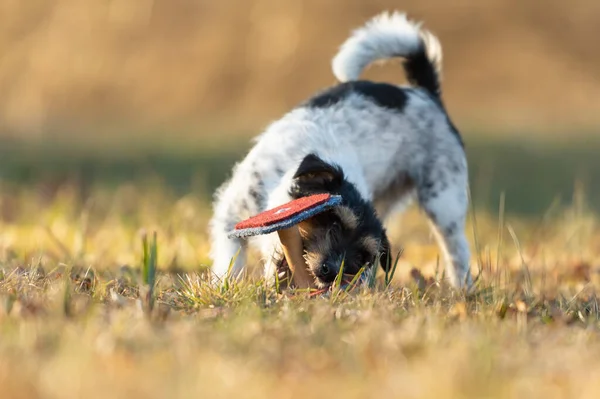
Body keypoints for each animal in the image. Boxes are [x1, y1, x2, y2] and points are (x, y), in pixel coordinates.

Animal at [209, 10, 472, 290]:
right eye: (333, 221)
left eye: (361, 255)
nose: (330, 272)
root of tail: (425, 94)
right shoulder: (230, 216)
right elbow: (229, 261)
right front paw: (222, 286)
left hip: (444, 202)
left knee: (458, 251)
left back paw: (462, 290)